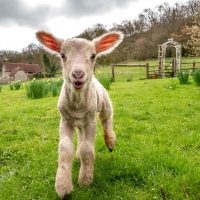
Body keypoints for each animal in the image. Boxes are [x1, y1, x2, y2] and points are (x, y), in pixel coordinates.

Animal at [35, 30, 123, 198]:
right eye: (62, 55)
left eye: (93, 56)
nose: (77, 74)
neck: (77, 105)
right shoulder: (65, 120)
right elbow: (65, 148)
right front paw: (63, 187)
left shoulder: (90, 122)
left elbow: (87, 149)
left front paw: (85, 181)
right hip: (80, 122)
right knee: (81, 137)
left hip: (104, 103)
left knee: (106, 119)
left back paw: (110, 142)